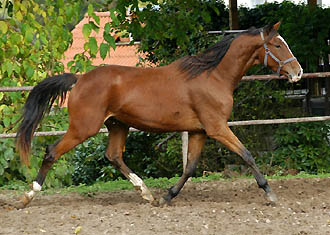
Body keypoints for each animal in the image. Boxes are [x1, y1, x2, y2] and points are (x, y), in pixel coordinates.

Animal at [16, 22, 302, 207]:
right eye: (277, 44)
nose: (297, 72)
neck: (213, 76)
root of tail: (79, 79)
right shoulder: (217, 128)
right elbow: (247, 155)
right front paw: (269, 193)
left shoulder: (199, 131)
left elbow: (190, 167)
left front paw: (167, 196)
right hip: (83, 128)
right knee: (52, 152)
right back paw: (28, 197)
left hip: (117, 125)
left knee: (114, 156)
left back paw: (146, 193)